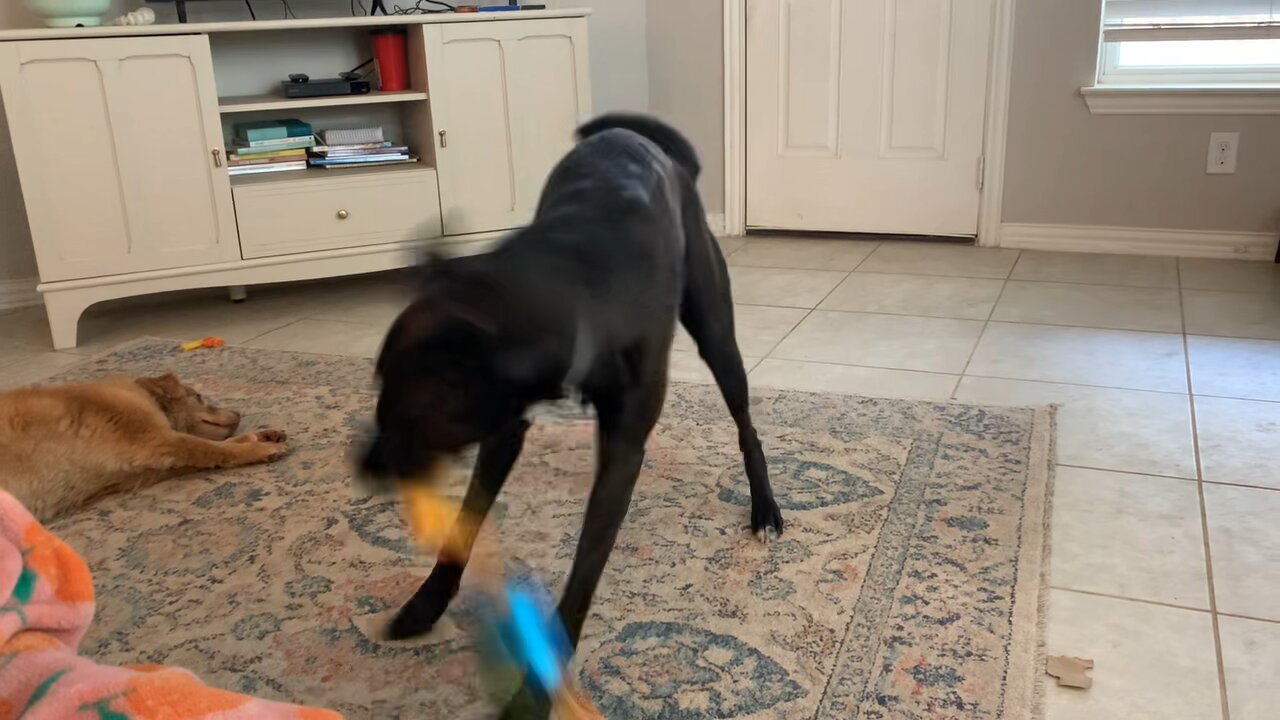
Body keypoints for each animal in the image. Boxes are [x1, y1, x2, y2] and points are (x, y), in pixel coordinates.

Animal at [0, 371, 290, 517]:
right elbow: (213, 449)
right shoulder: (154, 439)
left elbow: (216, 451)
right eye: (198, 396)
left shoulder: (146, 467)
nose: (239, 414)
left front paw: (263, 435)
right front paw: (259, 448)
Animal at [355, 112, 783, 712]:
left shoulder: (621, 448)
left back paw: (764, 508)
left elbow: (583, 572)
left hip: (715, 330)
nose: (362, 467)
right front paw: (426, 604)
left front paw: (536, 692)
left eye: (415, 407)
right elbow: (465, 522)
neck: (578, 285)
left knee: (746, 423)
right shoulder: (504, 428)